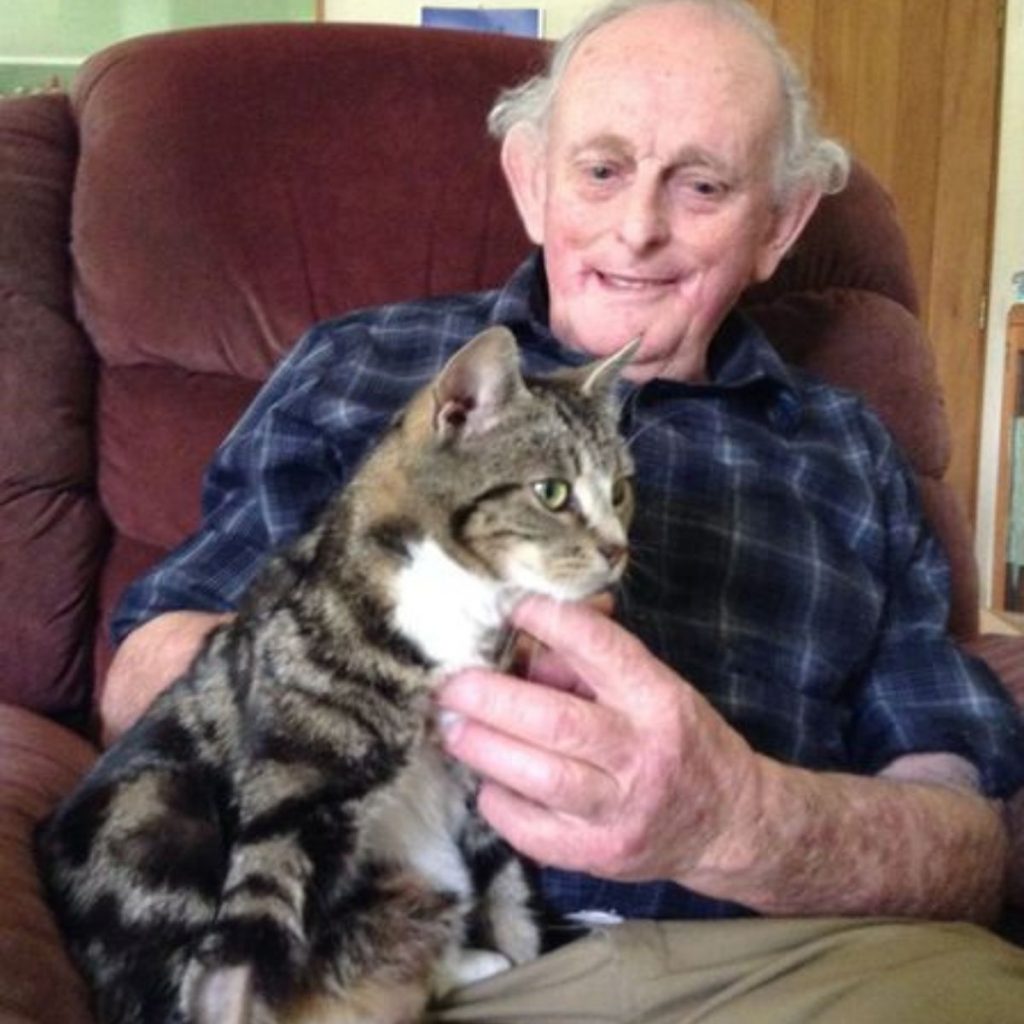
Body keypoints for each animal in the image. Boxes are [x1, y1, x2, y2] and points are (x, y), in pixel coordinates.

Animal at [36, 325, 634, 1024]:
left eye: (620, 491)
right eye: (552, 492)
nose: (618, 549)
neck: (459, 606)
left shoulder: (481, 780)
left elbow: (509, 894)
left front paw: (519, 950)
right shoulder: (295, 778)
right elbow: (252, 923)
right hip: (155, 809)